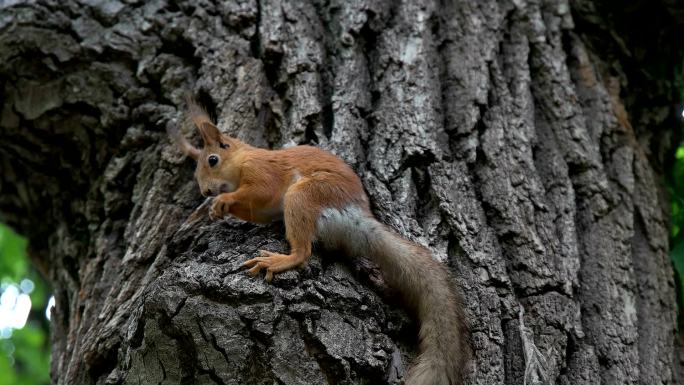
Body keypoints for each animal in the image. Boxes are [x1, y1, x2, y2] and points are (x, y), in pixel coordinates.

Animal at [168, 99, 472, 384]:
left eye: (213, 160)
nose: (205, 191)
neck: (245, 158)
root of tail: (358, 219)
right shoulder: (261, 208)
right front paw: (216, 209)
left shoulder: (262, 172)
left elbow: (261, 189)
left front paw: (223, 200)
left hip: (305, 195)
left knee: (303, 251)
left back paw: (280, 260)